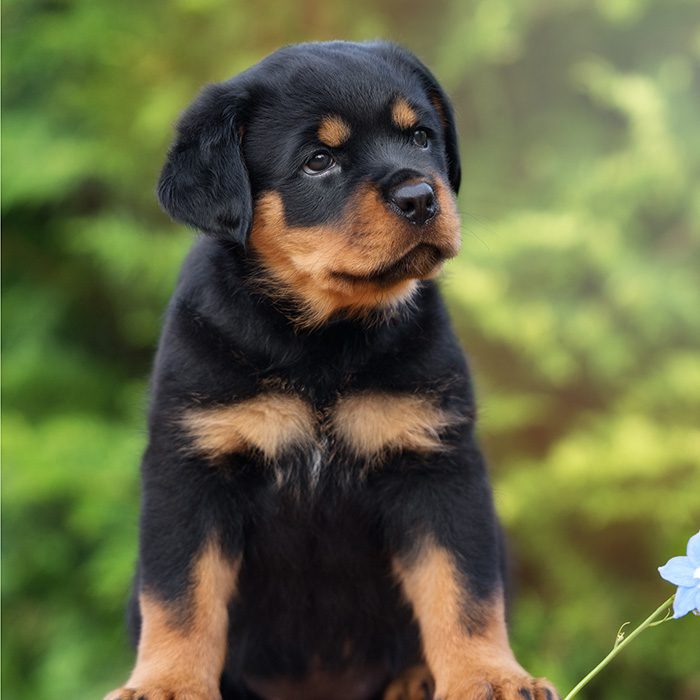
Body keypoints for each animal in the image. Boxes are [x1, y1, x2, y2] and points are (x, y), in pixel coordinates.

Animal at [108, 41, 556, 700]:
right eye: (319, 161)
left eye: (420, 137)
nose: (421, 197)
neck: (324, 341)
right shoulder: (190, 469)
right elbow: (179, 596)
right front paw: (166, 685)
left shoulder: (437, 464)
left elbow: (464, 588)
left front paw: (491, 678)